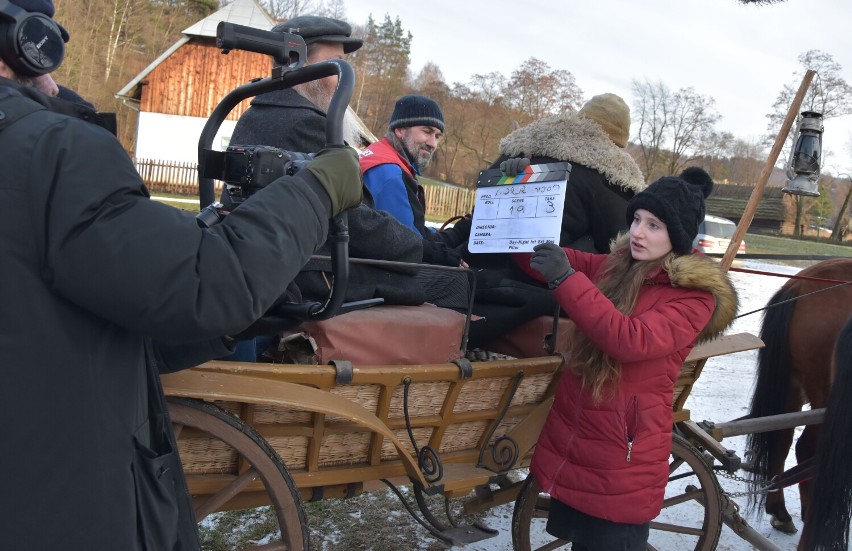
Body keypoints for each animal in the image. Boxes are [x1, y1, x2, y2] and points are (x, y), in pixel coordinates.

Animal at [744, 258, 852, 540]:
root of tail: (799, 286)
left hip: (793, 387)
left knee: (781, 441)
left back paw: (780, 511)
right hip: (823, 399)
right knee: (807, 450)